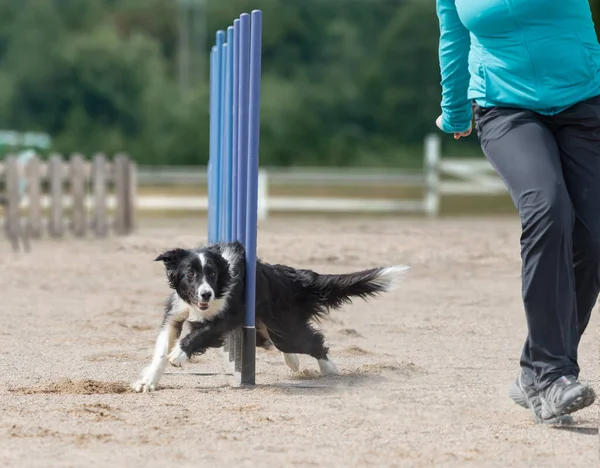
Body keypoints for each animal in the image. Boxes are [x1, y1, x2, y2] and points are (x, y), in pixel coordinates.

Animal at [134, 241, 410, 392]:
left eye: (212, 274)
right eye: (190, 274)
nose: (206, 294)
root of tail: (285, 275)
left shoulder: (229, 314)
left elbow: (199, 334)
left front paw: (179, 355)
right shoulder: (175, 313)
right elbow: (162, 348)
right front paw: (147, 382)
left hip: (285, 327)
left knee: (311, 342)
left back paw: (329, 368)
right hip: (265, 326)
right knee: (275, 343)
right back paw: (293, 363)